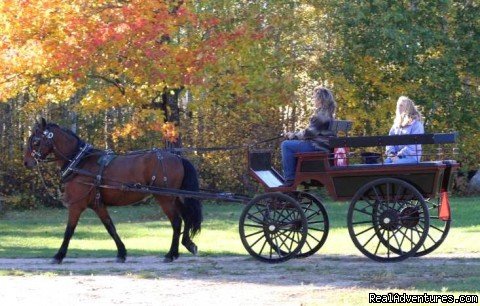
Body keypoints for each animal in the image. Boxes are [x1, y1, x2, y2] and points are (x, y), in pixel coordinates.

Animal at [23, 117, 202, 262]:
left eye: (36, 141)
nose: (27, 162)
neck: (79, 162)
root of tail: (177, 157)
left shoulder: (76, 205)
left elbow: (69, 230)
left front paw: (59, 255)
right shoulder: (98, 205)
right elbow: (110, 227)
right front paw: (122, 253)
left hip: (165, 198)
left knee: (177, 222)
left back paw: (171, 254)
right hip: (176, 197)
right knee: (186, 219)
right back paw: (186, 245)